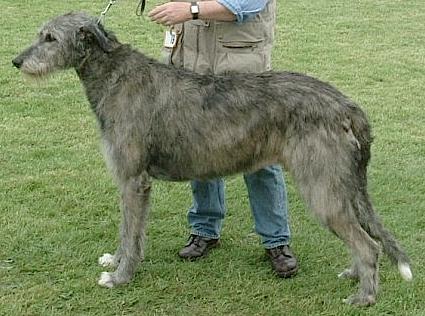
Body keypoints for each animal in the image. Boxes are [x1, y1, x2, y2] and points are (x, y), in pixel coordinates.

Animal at [12, 12, 410, 306]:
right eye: (40, 34)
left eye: (50, 38)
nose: (16, 61)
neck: (114, 76)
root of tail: (345, 104)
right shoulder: (132, 183)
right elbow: (128, 234)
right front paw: (115, 261)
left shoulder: (133, 181)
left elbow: (131, 233)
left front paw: (120, 277)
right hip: (341, 184)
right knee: (363, 237)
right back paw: (355, 275)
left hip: (321, 186)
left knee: (368, 244)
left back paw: (364, 296)